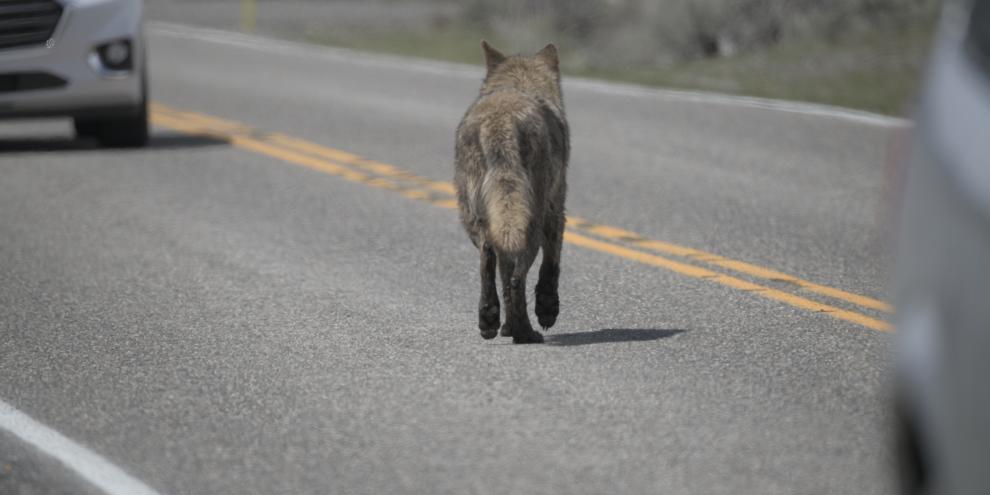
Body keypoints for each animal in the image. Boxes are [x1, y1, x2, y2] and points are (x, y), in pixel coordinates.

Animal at [454, 41, 569, 344]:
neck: (519, 83)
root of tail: (500, 123)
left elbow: (503, 274)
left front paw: (504, 326)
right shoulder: (557, 209)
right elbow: (551, 266)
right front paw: (547, 311)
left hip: (478, 220)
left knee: (489, 261)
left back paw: (489, 320)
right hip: (530, 223)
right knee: (519, 278)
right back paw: (525, 333)